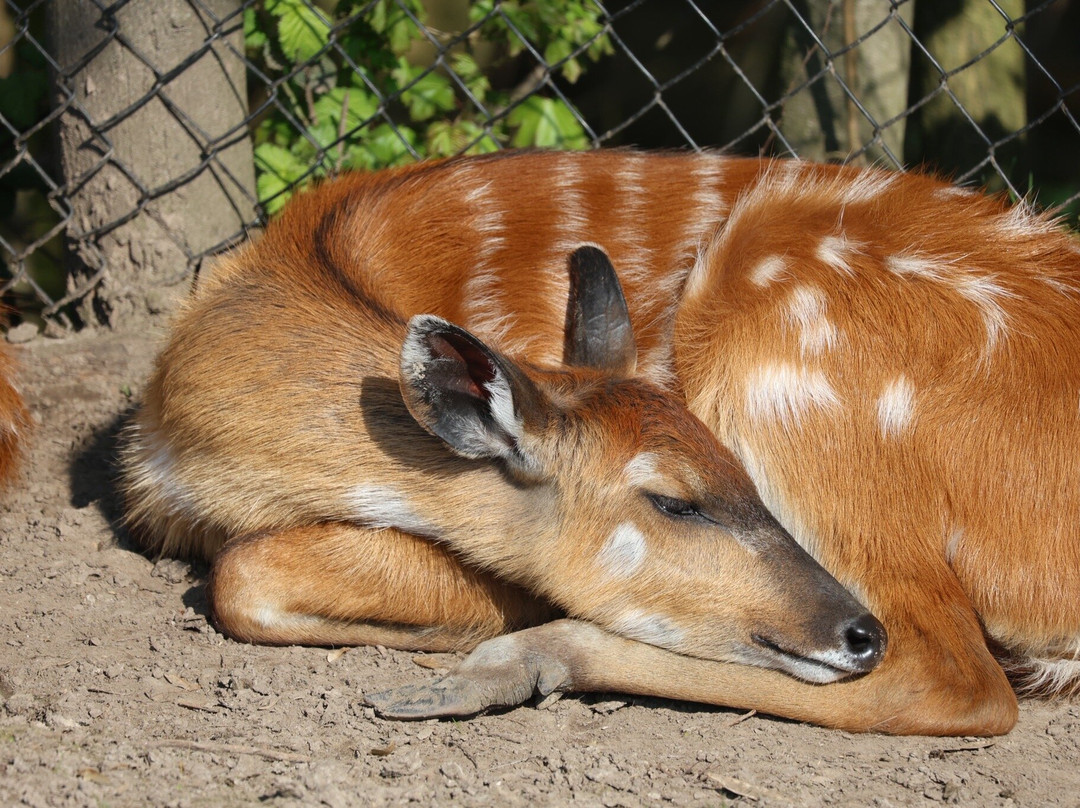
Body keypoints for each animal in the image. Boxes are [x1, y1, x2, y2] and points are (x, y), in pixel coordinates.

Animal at [122, 149, 1080, 736]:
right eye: (676, 501)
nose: (852, 632)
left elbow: (249, 569)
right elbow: (243, 574)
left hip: (784, 355)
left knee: (954, 676)